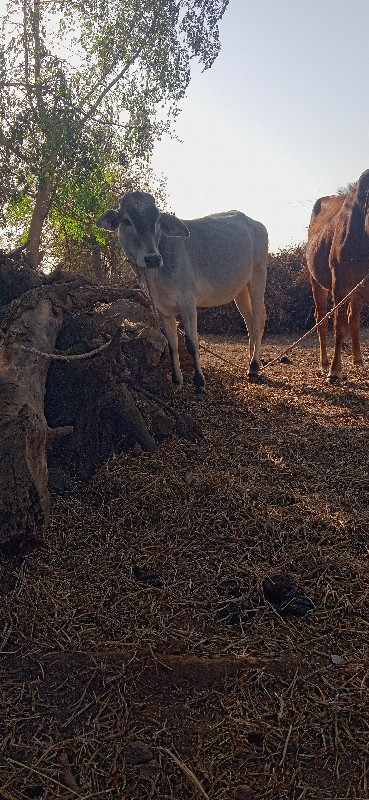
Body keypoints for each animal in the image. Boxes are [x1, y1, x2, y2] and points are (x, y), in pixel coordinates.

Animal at [95, 194, 268, 394]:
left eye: (157, 220)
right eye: (126, 220)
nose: (152, 258)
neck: (154, 275)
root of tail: (256, 224)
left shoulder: (188, 303)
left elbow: (192, 343)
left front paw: (199, 383)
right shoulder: (163, 309)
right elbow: (172, 344)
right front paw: (177, 380)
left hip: (258, 276)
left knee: (258, 320)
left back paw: (254, 367)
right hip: (240, 289)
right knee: (249, 321)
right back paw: (249, 362)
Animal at [304, 168, 368, 382]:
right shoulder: (338, 281)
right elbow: (338, 326)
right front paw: (335, 370)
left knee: (353, 318)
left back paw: (358, 359)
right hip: (317, 281)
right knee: (322, 319)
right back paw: (324, 363)